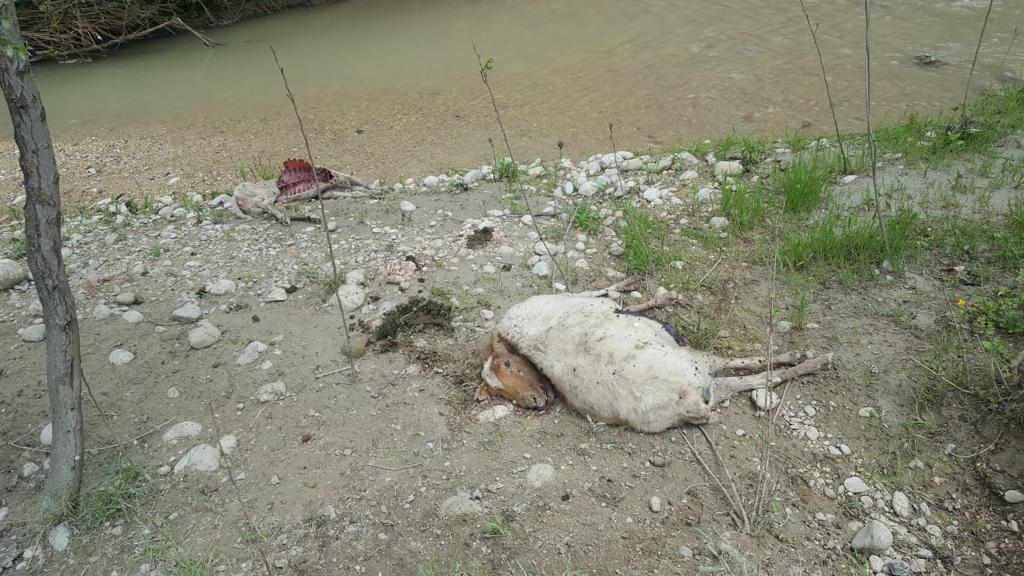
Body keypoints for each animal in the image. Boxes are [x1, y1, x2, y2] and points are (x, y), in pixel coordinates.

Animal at [477, 284, 833, 433]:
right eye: (500, 393)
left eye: (508, 365)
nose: (534, 402)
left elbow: (613, 297)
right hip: (703, 370)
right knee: (761, 371)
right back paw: (813, 359)